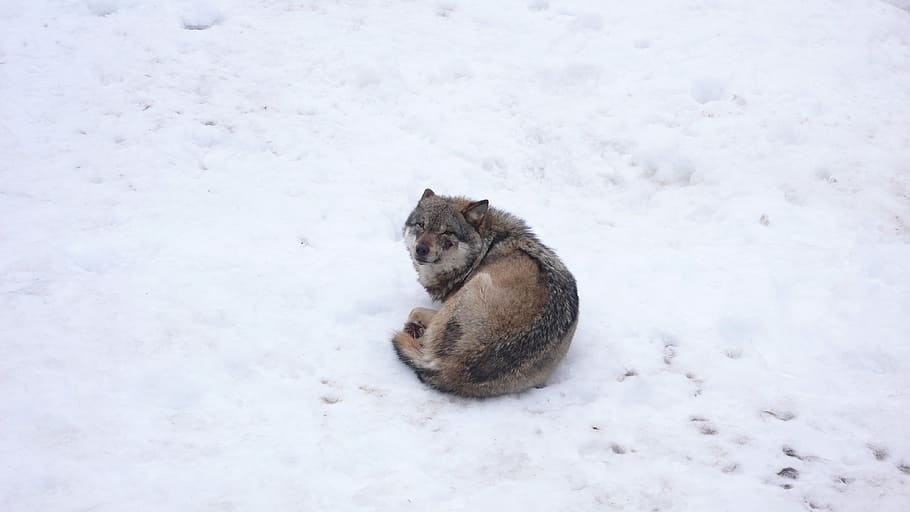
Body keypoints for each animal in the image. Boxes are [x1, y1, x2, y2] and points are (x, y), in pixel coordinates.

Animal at [391, 189, 579, 398]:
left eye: (446, 232)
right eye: (421, 225)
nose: (421, 249)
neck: (485, 247)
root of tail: (452, 369)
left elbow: (414, 310)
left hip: (476, 285)